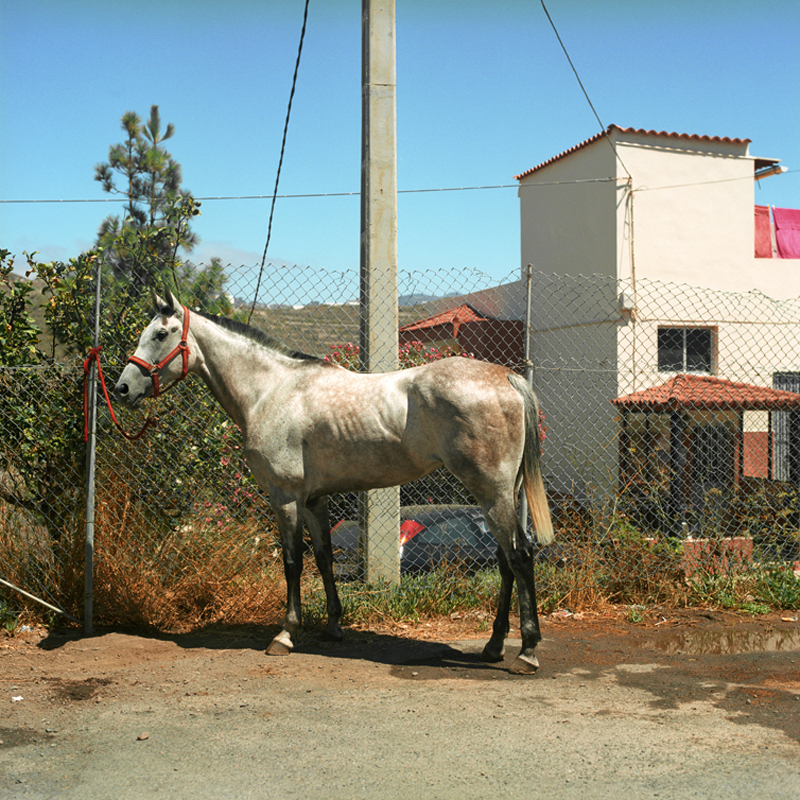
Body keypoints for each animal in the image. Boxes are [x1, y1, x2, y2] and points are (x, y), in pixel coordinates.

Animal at [117, 290, 556, 672]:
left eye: (161, 334)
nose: (122, 388)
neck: (271, 391)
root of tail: (506, 378)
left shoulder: (285, 496)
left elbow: (292, 562)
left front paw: (285, 635)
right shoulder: (314, 500)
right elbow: (325, 558)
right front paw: (333, 626)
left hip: (491, 491)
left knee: (520, 556)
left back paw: (527, 652)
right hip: (501, 494)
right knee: (504, 560)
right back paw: (494, 645)